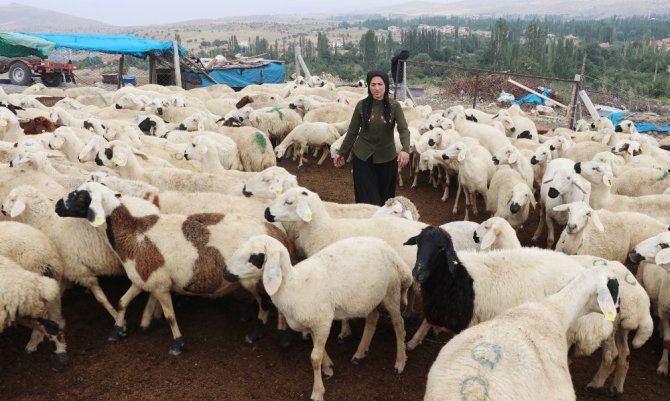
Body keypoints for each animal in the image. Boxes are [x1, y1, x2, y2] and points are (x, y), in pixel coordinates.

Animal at [55, 181, 296, 354]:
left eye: (78, 196)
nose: (57, 205)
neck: (132, 234)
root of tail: (278, 234)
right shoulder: (143, 279)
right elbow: (122, 302)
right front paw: (118, 330)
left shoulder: (160, 285)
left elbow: (170, 316)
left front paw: (177, 344)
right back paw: (280, 334)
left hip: (253, 278)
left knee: (266, 304)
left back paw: (257, 334)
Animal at [226, 233, 414, 400]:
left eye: (255, 257)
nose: (225, 273)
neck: (294, 285)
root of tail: (390, 250)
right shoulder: (313, 323)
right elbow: (317, 347)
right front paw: (328, 367)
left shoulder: (322, 321)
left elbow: (314, 357)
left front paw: (317, 392)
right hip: (369, 297)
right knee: (373, 318)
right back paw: (360, 354)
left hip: (391, 291)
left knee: (399, 324)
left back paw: (400, 362)